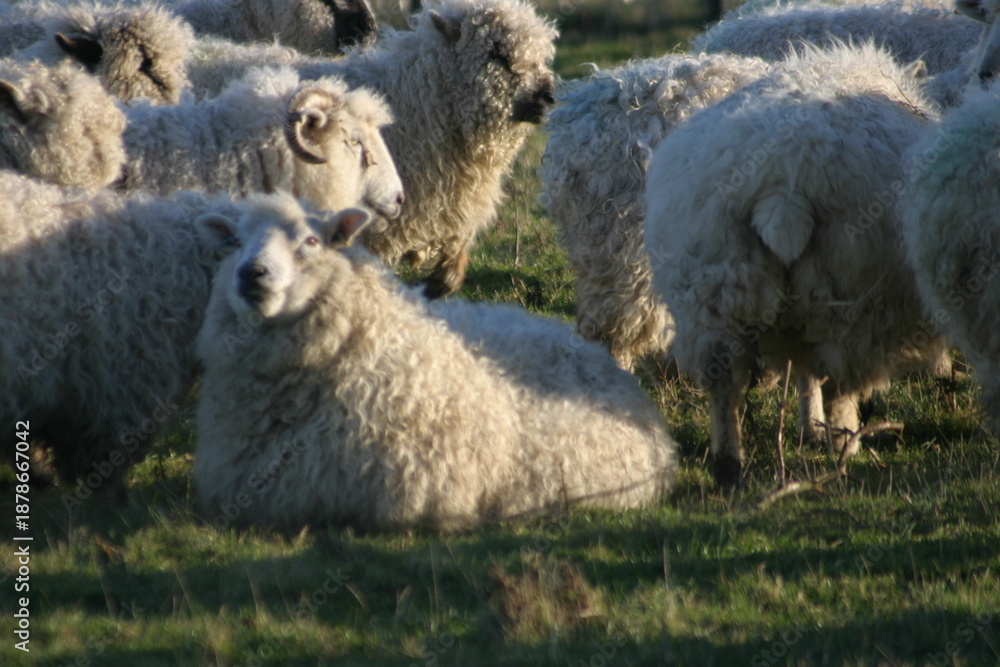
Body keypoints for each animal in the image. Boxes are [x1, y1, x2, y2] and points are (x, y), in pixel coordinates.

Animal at [642, 43, 948, 489]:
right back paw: (844, 446)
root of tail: (782, 183)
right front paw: (821, 429)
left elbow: (804, 370)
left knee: (723, 376)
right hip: (848, 288)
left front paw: (808, 426)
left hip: (715, 281)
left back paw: (728, 466)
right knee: (840, 378)